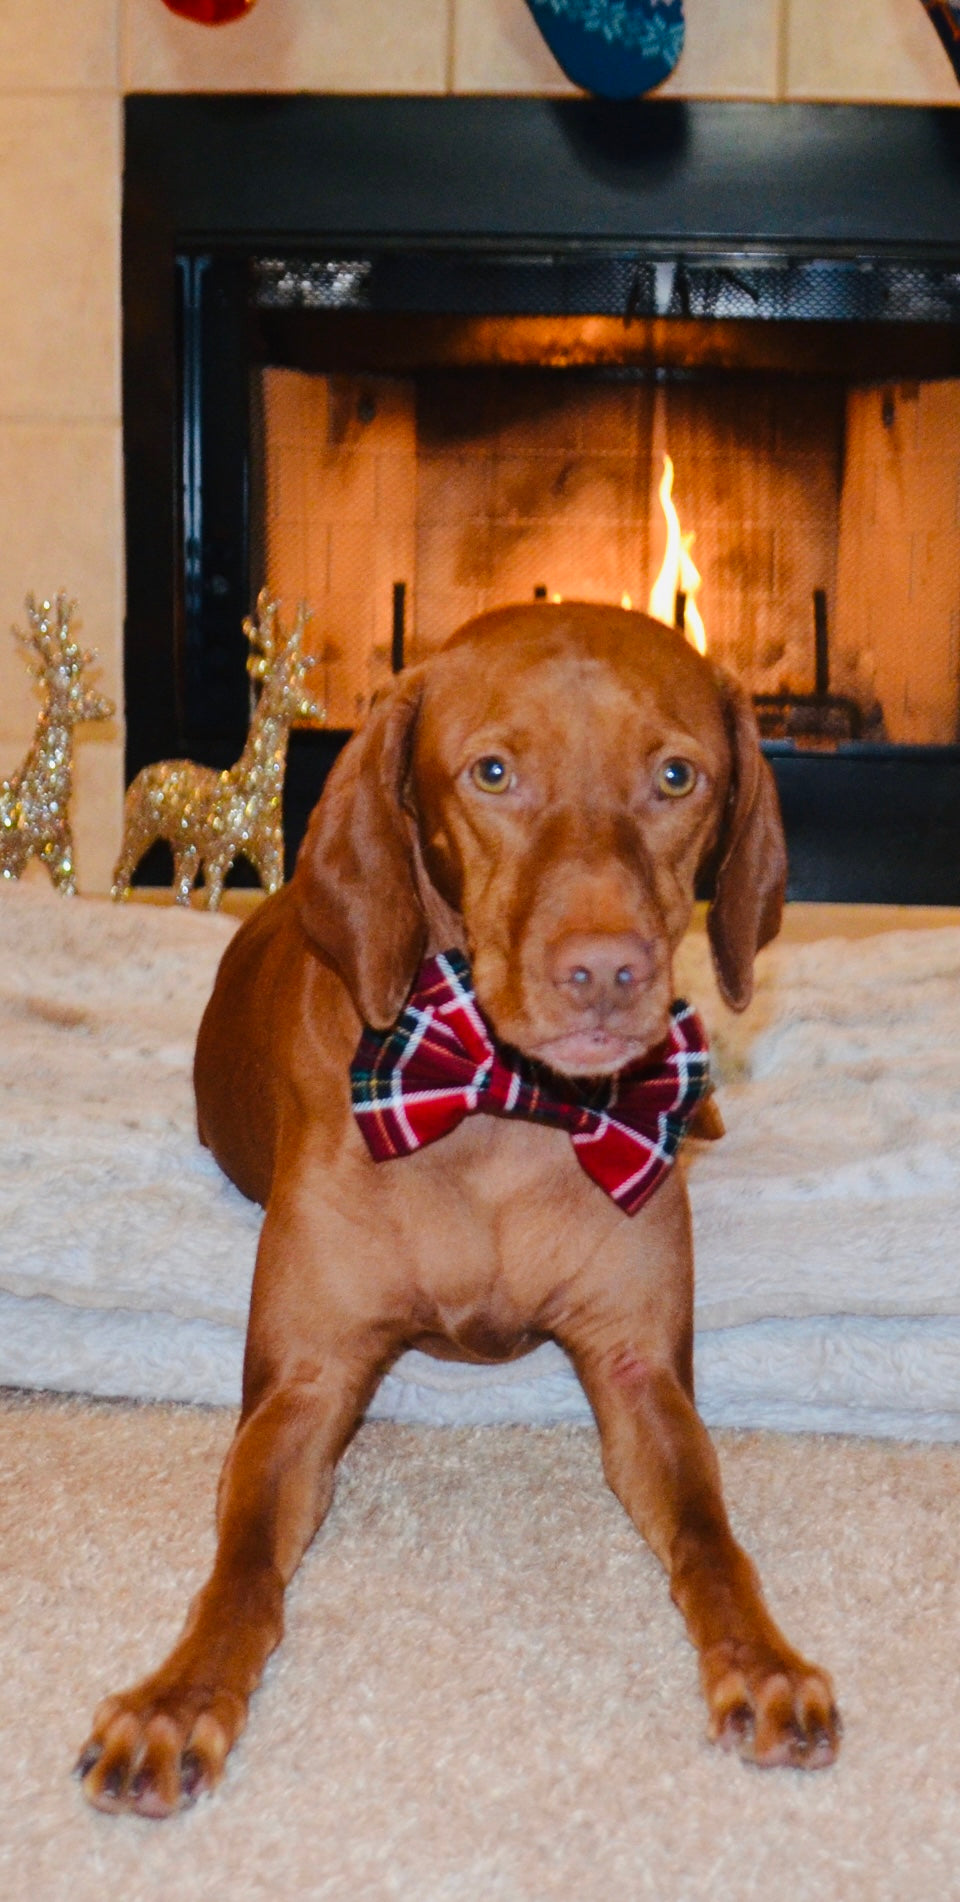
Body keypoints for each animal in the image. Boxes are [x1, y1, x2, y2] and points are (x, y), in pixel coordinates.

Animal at [76, 604, 836, 1810]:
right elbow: (241, 1567)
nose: (607, 973)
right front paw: (178, 1697)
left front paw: (763, 1663)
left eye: (677, 775)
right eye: (492, 773)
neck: (500, 1105)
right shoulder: (303, 1385)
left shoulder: (640, 1375)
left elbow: (714, 1539)